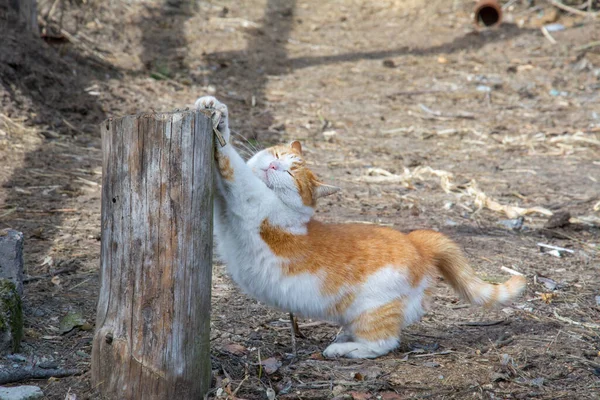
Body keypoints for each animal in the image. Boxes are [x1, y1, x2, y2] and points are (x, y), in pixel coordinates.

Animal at [196, 96, 524, 360]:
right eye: (277, 157)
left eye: (291, 174)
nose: (275, 167)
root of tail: (417, 241)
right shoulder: (224, 211)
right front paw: (211, 108)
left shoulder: (251, 199)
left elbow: (232, 163)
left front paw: (220, 122)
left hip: (372, 310)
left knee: (383, 343)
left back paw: (343, 349)